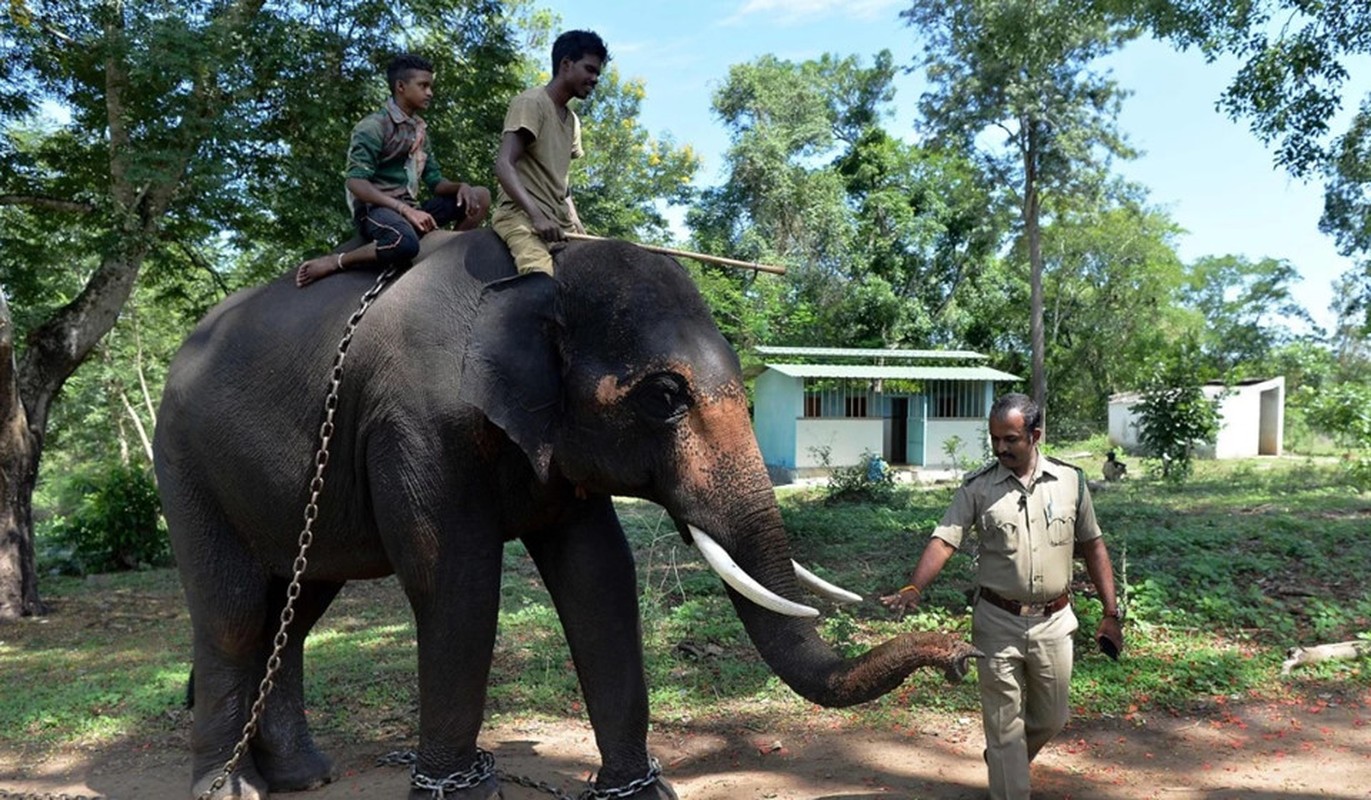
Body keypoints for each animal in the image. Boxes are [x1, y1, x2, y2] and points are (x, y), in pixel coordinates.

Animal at [155, 226, 981, 800]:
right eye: (664, 396)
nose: (959, 656)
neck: (540, 273)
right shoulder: (415, 424)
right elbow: (455, 584)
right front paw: (465, 793)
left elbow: (598, 576)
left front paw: (640, 793)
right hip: (184, 462)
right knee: (235, 615)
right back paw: (230, 788)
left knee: (293, 614)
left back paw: (305, 778)